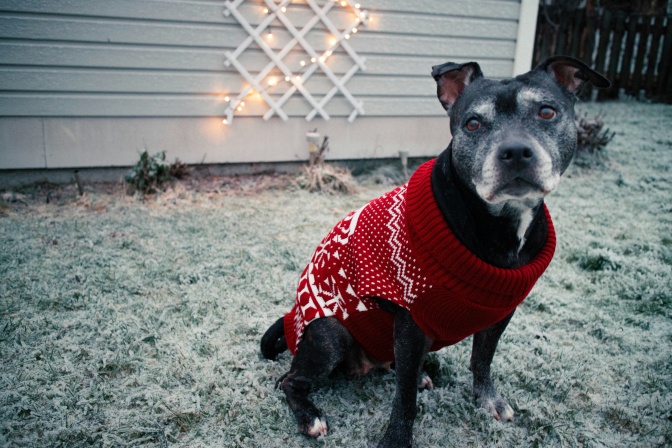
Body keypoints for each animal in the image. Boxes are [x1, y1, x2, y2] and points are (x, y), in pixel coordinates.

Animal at [262, 57, 608, 446]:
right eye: (473, 123)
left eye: (547, 112)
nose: (516, 151)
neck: (497, 225)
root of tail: (291, 319)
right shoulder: (412, 322)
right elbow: (405, 398)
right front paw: (396, 440)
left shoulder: (500, 313)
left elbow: (481, 360)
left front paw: (488, 400)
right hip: (329, 334)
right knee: (289, 381)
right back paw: (310, 416)